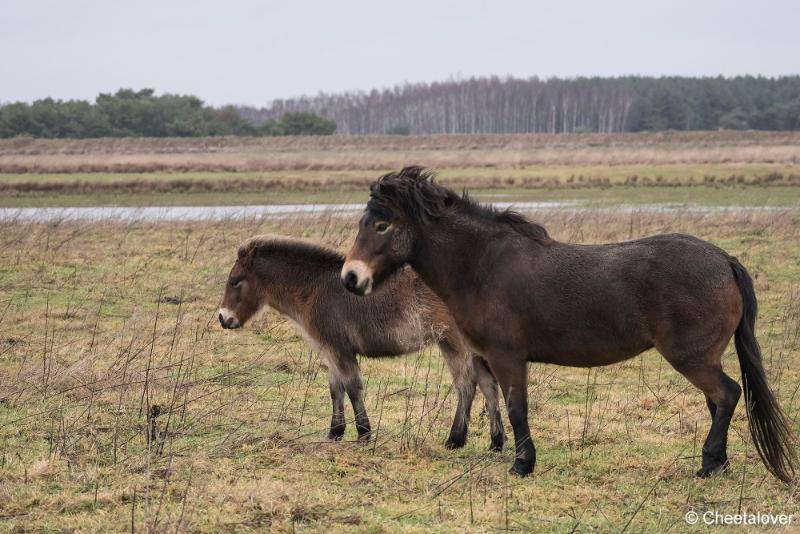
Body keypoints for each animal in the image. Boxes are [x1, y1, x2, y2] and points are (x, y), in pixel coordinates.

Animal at [217, 237, 506, 450]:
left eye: (234, 281)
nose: (223, 318)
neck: (314, 289)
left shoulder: (339, 349)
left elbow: (353, 387)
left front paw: (364, 434)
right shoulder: (330, 351)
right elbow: (336, 389)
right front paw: (335, 432)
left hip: (453, 343)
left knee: (466, 384)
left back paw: (455, 439)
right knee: (488, 385)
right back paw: (496, 442)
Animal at [340, 169, 796, 486]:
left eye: (382, 225)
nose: (350, 278)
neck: (483, 266)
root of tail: (723, 259)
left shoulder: (508, 357)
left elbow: (516, 408)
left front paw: (522, 464)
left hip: (692, 357)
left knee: (727, 395)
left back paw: (707, 464)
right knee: (718, 402)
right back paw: (717, 464)